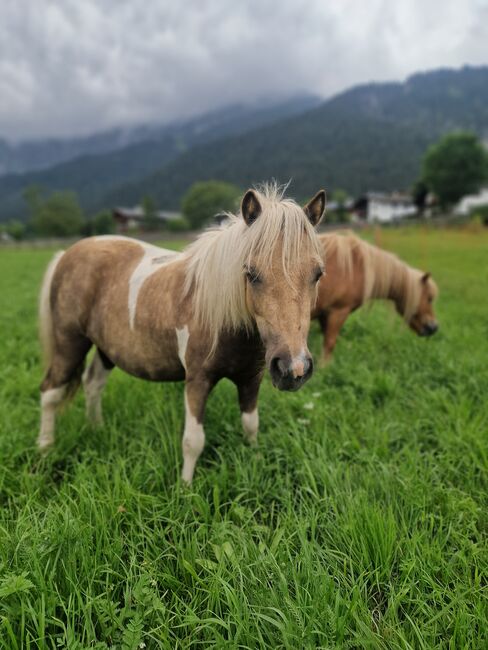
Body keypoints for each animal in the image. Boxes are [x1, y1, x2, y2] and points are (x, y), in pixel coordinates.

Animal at [39, 182, 328, 480]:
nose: (293, 369)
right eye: (251, 273)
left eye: (318, 273)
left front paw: (255, 461)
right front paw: (185, 486)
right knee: (50, 393)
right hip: (69, 344)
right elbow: (193, 441)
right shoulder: (197, 380)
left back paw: (96, 428)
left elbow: (251, 425)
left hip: (107, 349)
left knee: (93, 383)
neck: (223, 319)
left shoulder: (251, 379)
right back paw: (45, 448)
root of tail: (66, 254)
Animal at [312, 230, 438, 362]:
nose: (434, 327)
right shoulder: (338, 312)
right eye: (429, 298)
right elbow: (330, 343)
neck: (354, 267)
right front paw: (325, 364)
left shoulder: (324, 314)